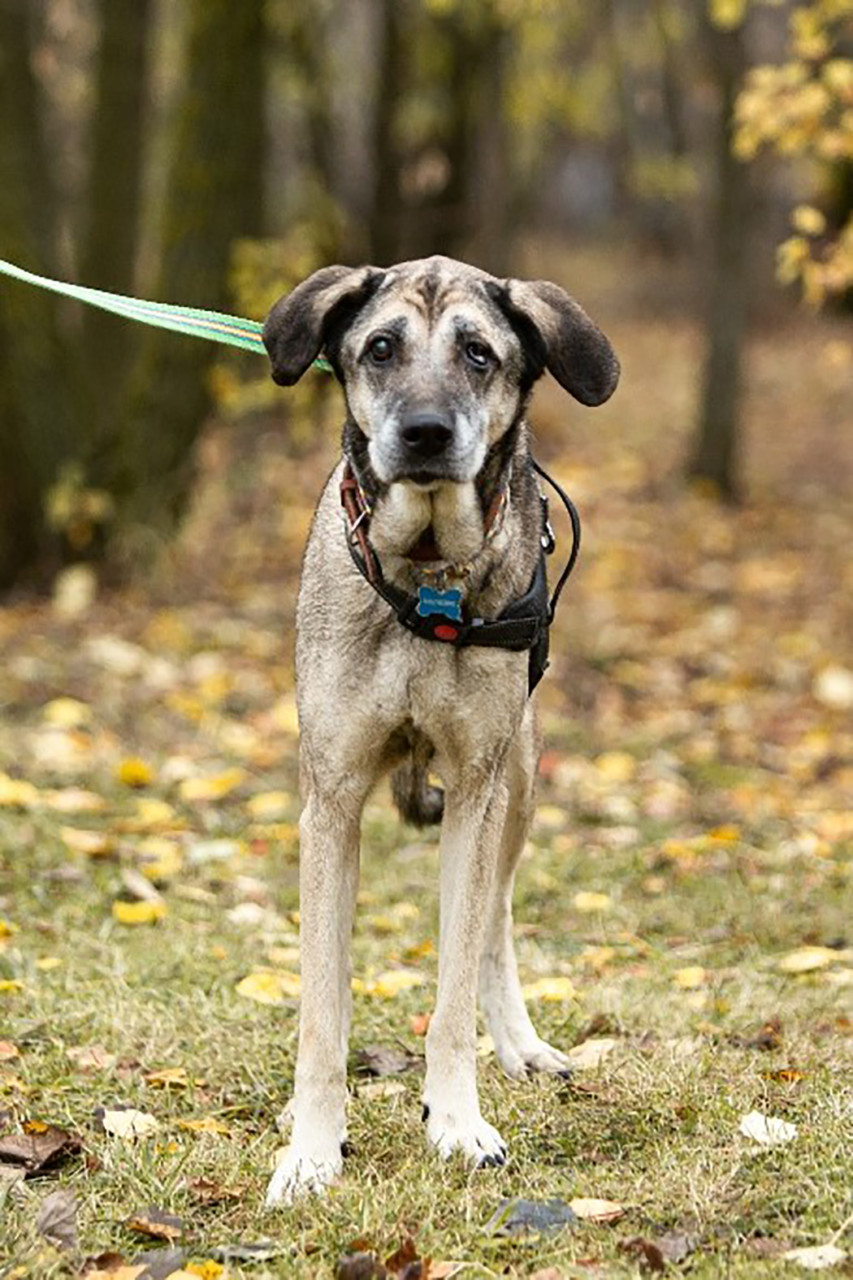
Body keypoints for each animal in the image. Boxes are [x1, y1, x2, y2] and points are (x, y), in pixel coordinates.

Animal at [261, 252, 617, 1198]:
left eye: (479, 353)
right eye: (380, 347)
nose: (423, 433)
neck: (425, 579)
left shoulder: (476, 789)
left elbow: (455, 984)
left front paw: (456, 1123)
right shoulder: (330, 800)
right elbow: (321, 1006)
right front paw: (312, 1148)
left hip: (518, 785)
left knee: (493, 917)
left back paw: (520, 1045)